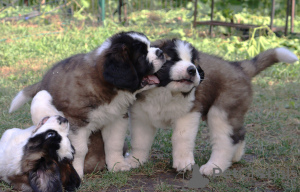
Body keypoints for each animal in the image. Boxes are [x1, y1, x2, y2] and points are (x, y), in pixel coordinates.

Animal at [8, 31, 166, 177]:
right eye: (142, 55)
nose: (161, 52)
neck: (107, 87)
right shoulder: (76, 122)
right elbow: (79, 150)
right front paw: (77, 172)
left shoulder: (116, 118)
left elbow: (114, 143)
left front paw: (117, 165)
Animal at [126, 39, 298, 176]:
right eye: (172, 59)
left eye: (194, 62)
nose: (192, 70)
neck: (165, 91)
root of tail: (238, 66)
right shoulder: (141, 115)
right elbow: (140, 140)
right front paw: (135, 161)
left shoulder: (189, 112)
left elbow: (181, 137)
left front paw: (183, 162)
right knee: (239, 133)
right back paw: (234, 157)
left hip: (221, 111)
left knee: (226, 140)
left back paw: (214, 166)